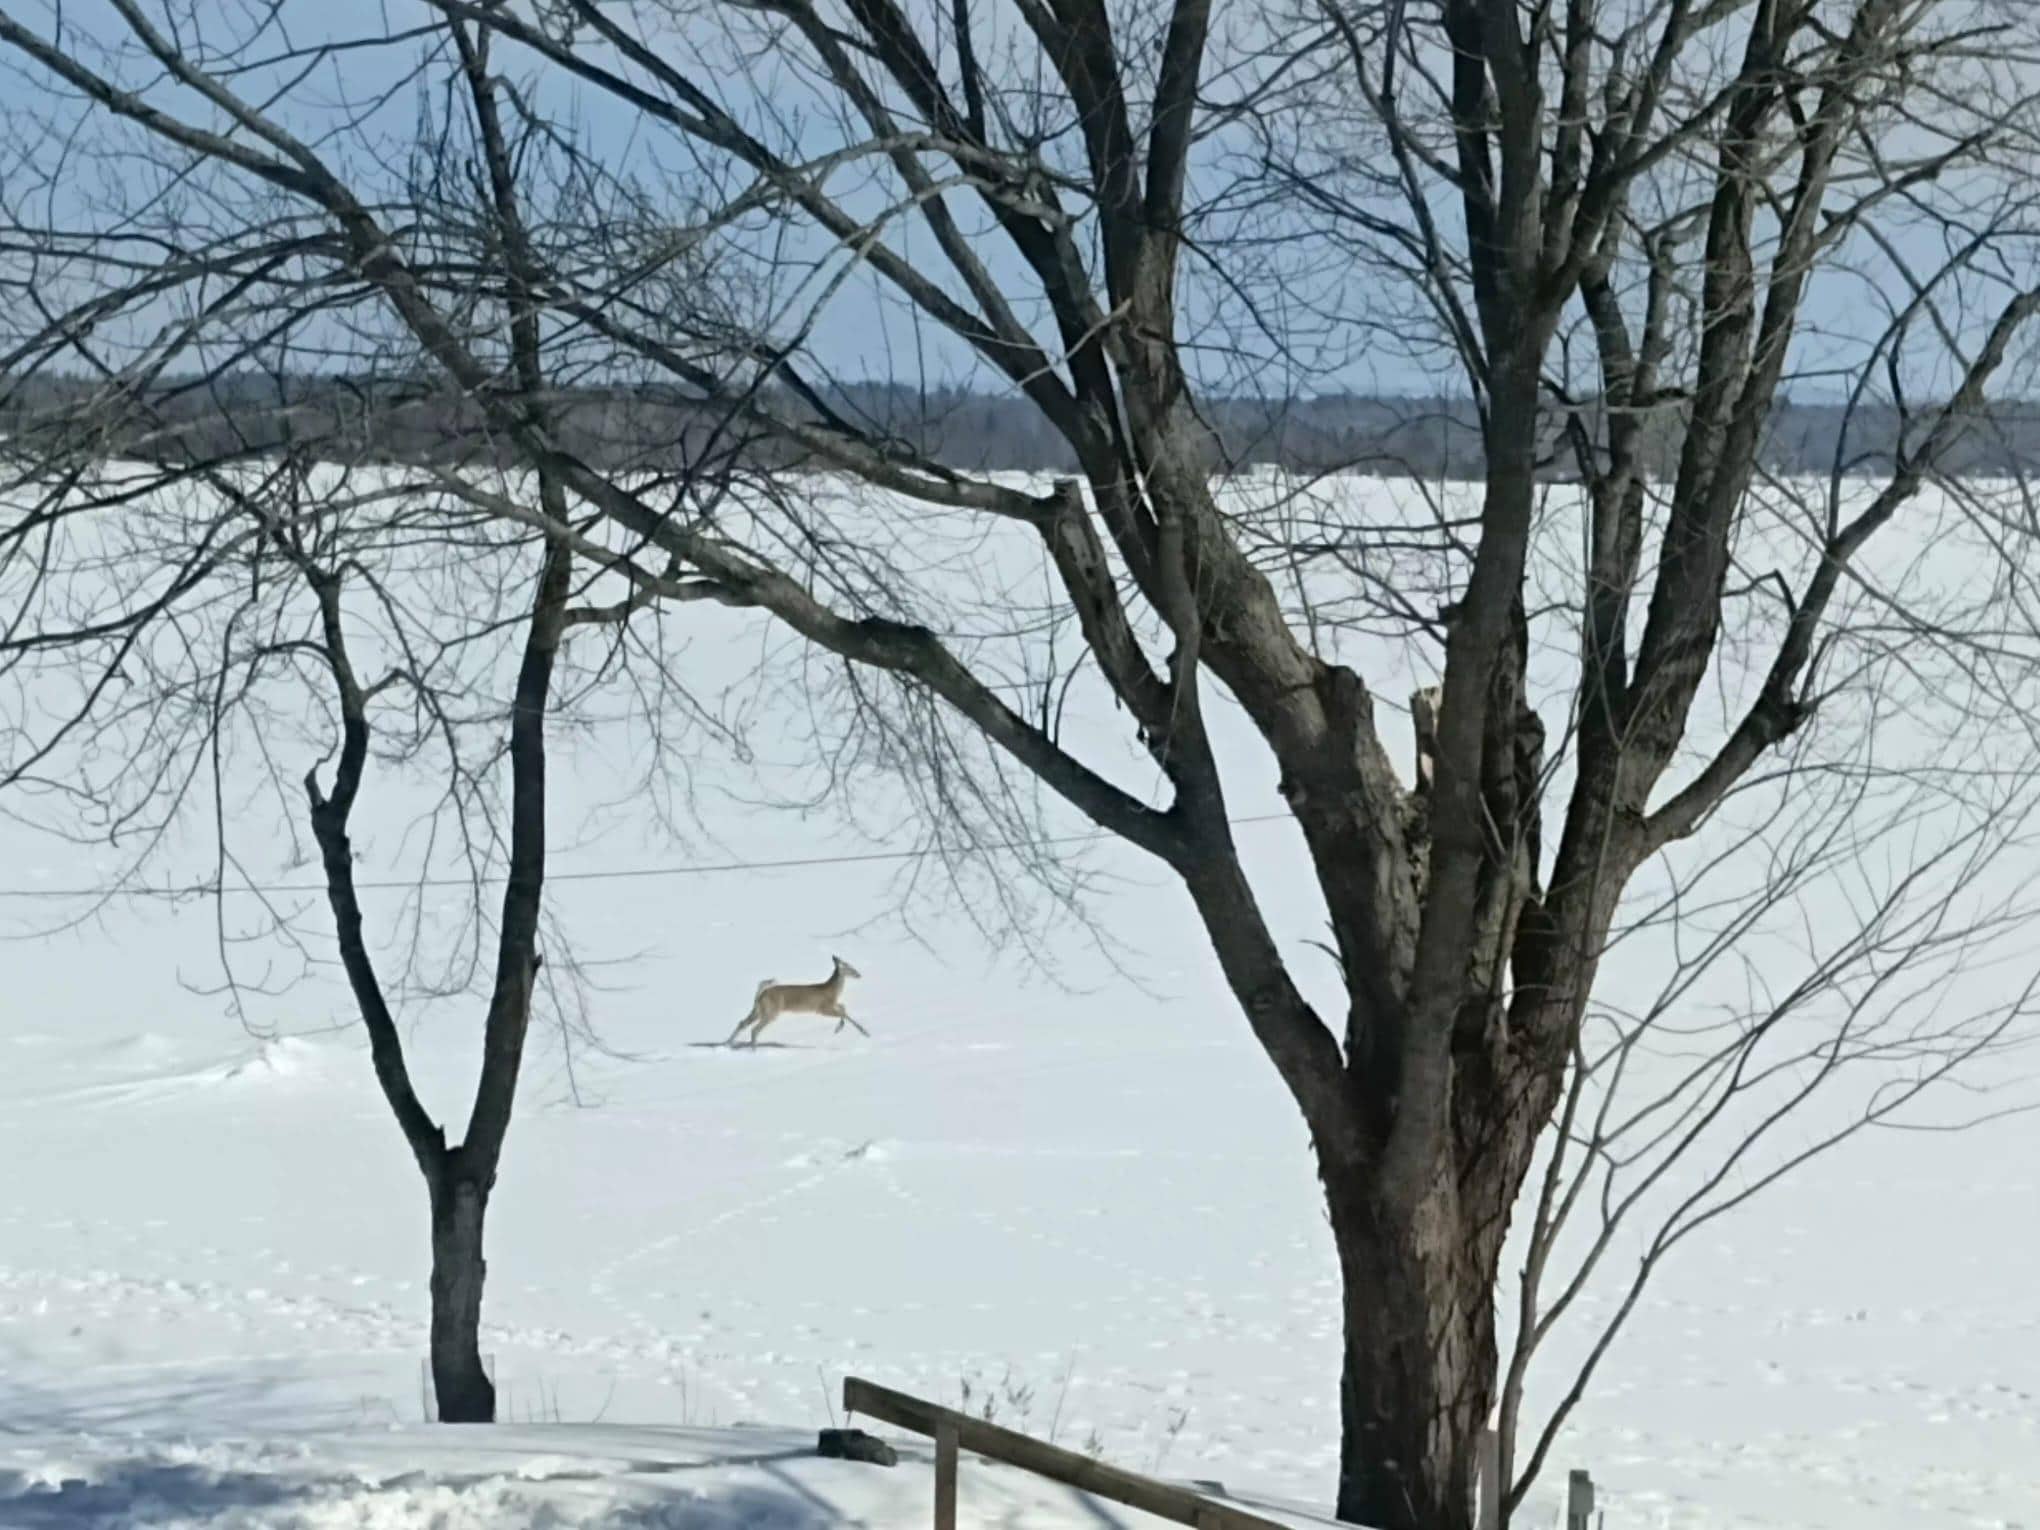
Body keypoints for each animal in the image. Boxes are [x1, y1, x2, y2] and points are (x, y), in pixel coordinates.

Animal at [725, 956, 868, 1047]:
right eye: (849, 966)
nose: (859, 974)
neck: (832, 991)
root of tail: (761, 994)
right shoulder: (821, 1008)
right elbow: (843, 1013)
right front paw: (864, 1032)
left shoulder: (832, 1004)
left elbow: (843, 1008)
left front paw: (841, 1028)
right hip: (771, 1011)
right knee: (754, 1029)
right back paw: (753, 1049)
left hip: (759, 1010)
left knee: (742, 1023)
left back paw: (729, 1043)